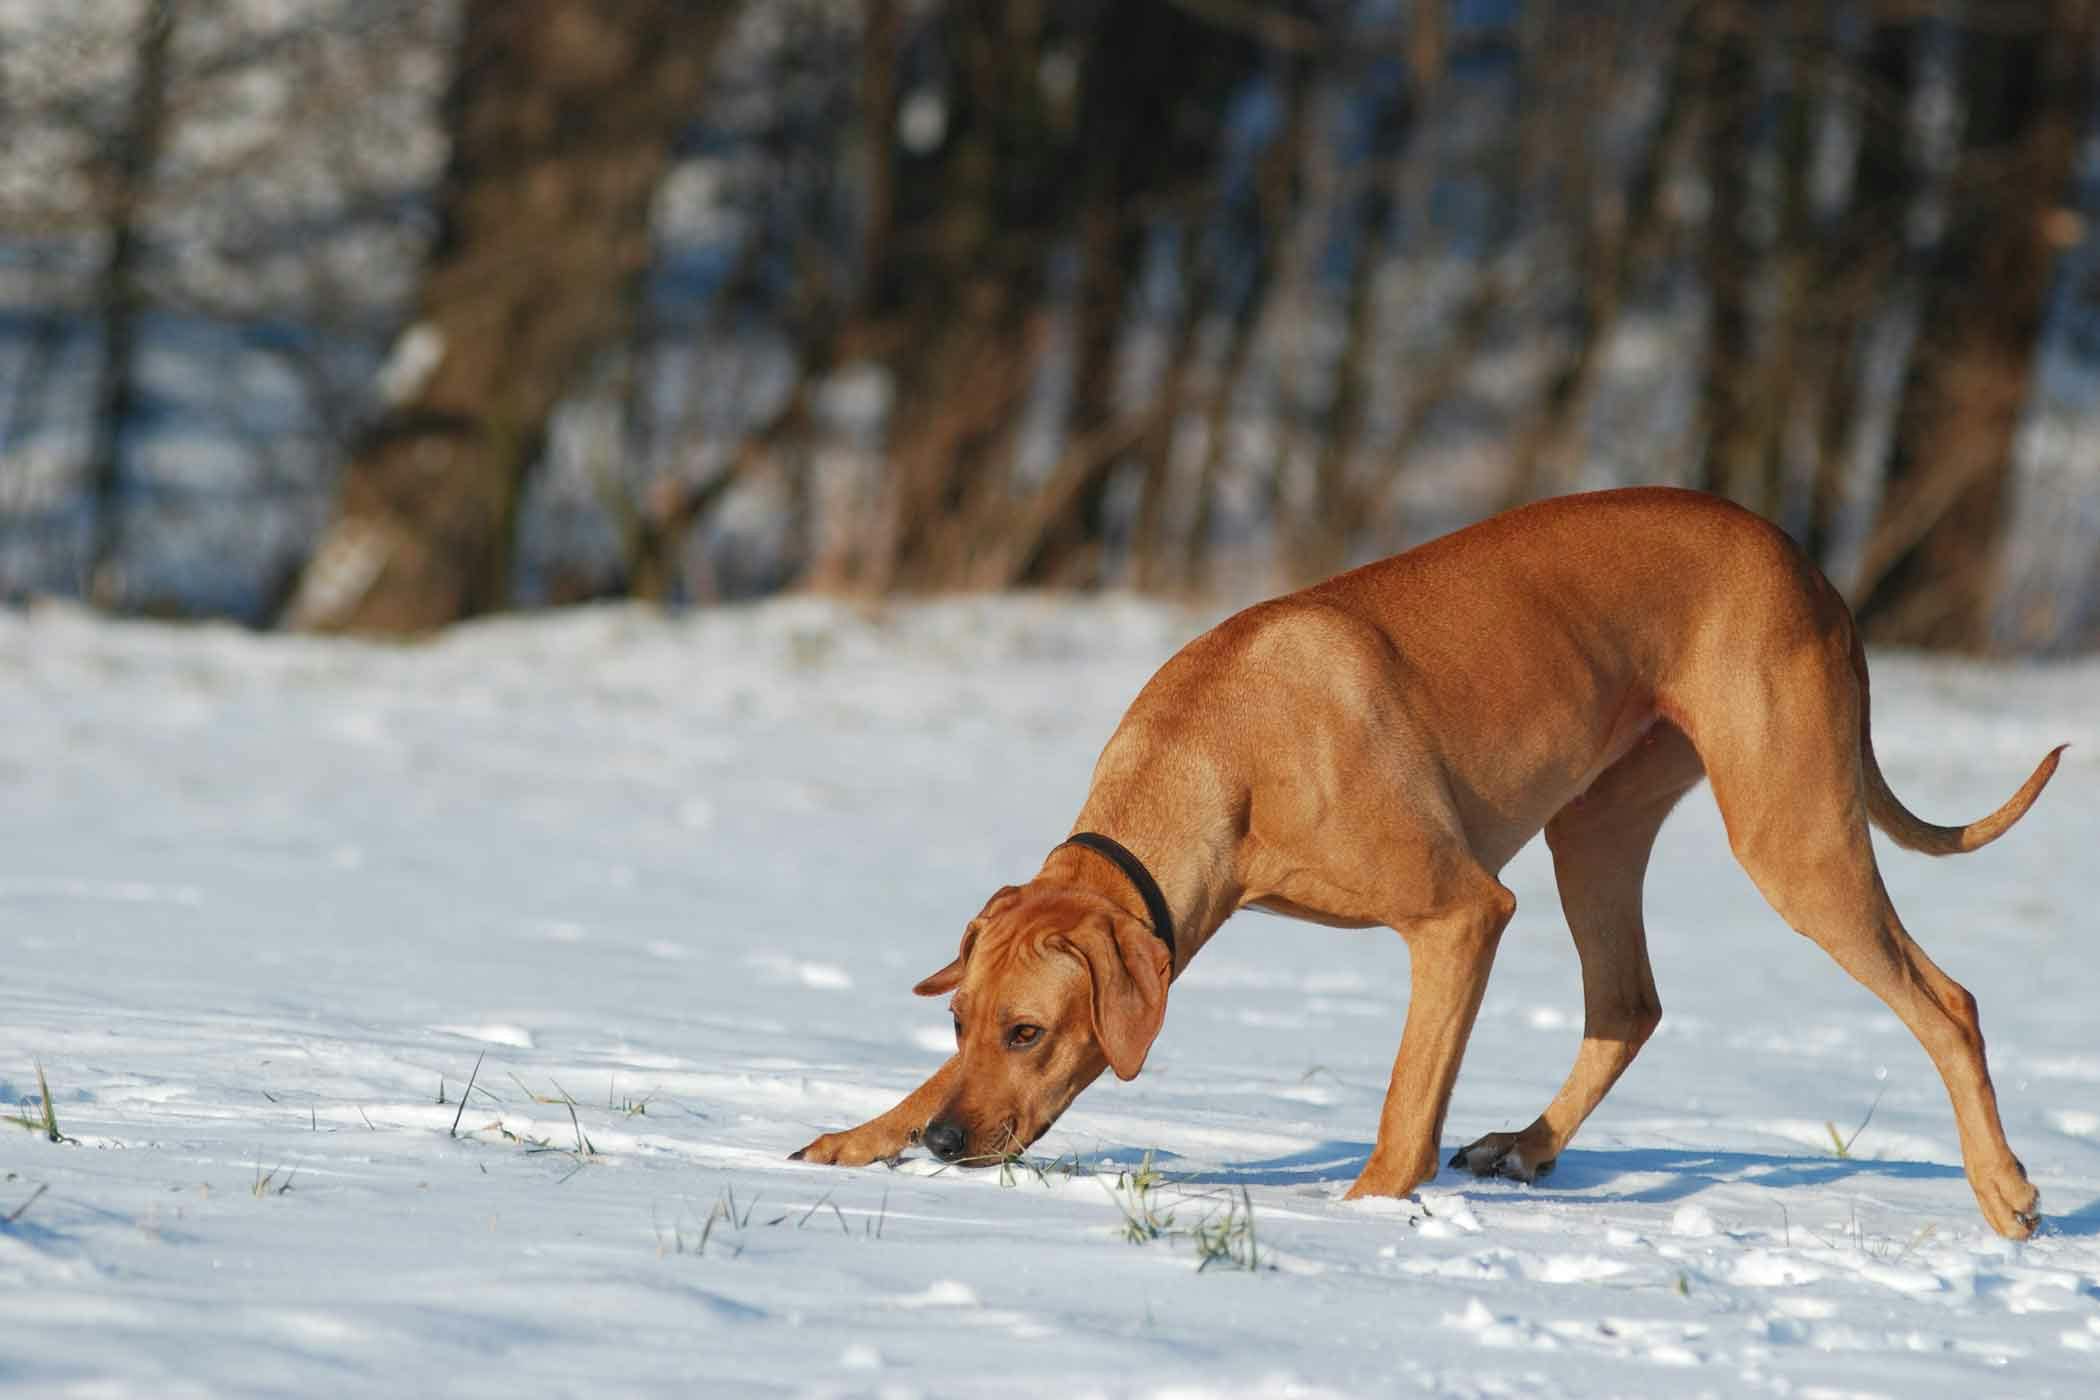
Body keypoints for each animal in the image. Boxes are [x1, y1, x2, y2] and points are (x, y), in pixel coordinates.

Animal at [789, 491, 2066, 1234]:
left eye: (1028, 1031)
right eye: (960, 1024)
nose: (949, 1147)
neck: (1219, 751)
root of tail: (1810, 565)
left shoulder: (1460, 913)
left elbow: (1406, 1100)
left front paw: (1361, 1216)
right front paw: (867, 1132)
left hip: (1790, 830)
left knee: (1946, 999)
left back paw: (2005, 1190)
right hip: (1594, 826)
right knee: (1628, 1003)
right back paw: (1529, 1145)